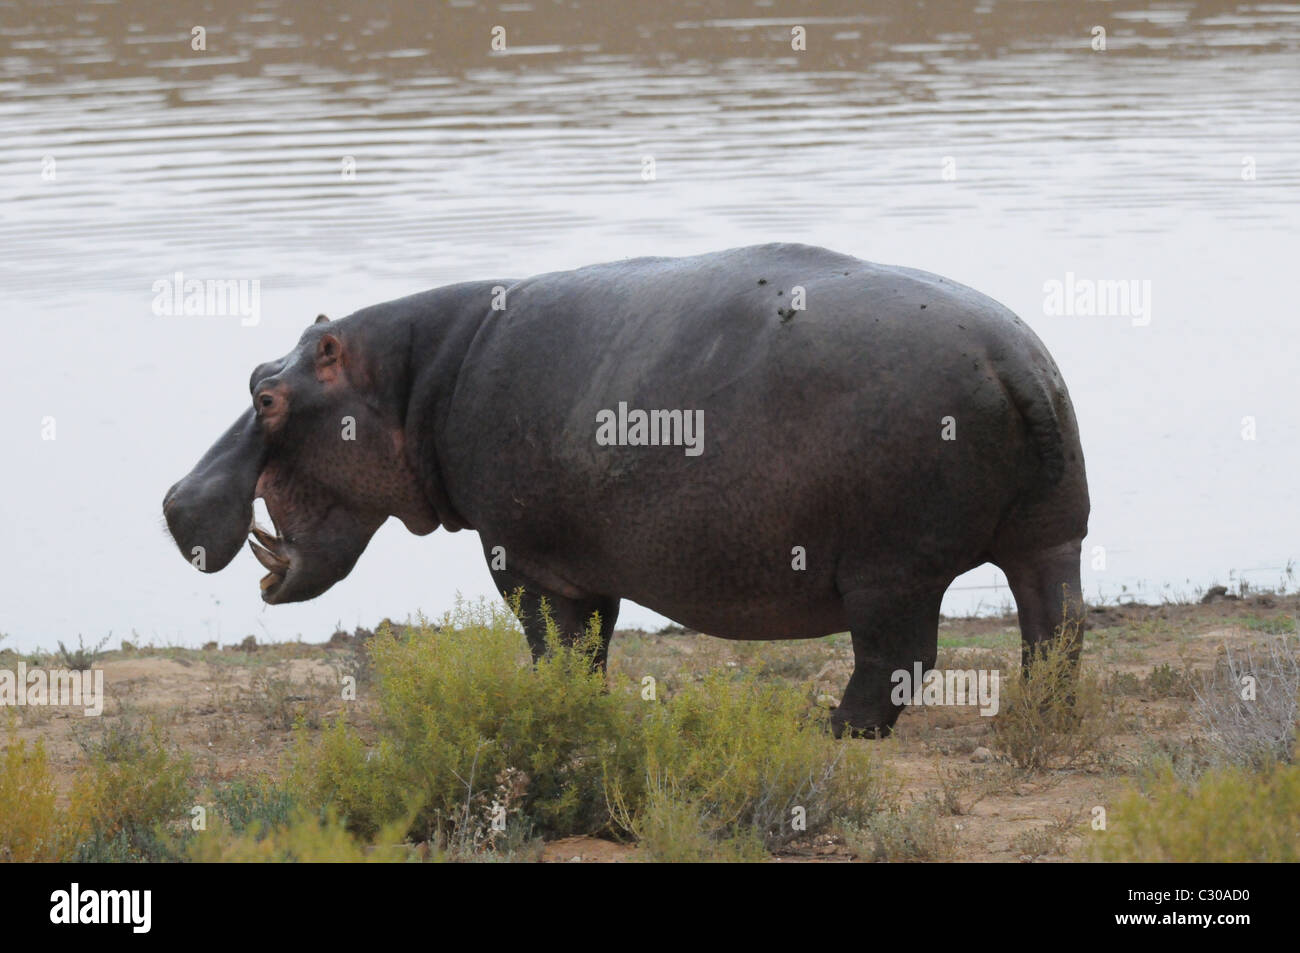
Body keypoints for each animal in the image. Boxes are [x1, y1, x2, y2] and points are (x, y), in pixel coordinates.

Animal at [162, 245, 1086, 738]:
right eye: (255, 371)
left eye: (266, 394)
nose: (172, 500)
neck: (410, 378)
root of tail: (1016, 360)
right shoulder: (586, 564)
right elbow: (593, 646)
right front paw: (581, 709)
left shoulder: (525, 559)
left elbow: (553, 642)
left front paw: (548, 710)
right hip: (1050, 537)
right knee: (1057, 628)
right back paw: (1038, 710)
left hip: (889, 571)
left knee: (898, 658)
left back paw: (828, 728)